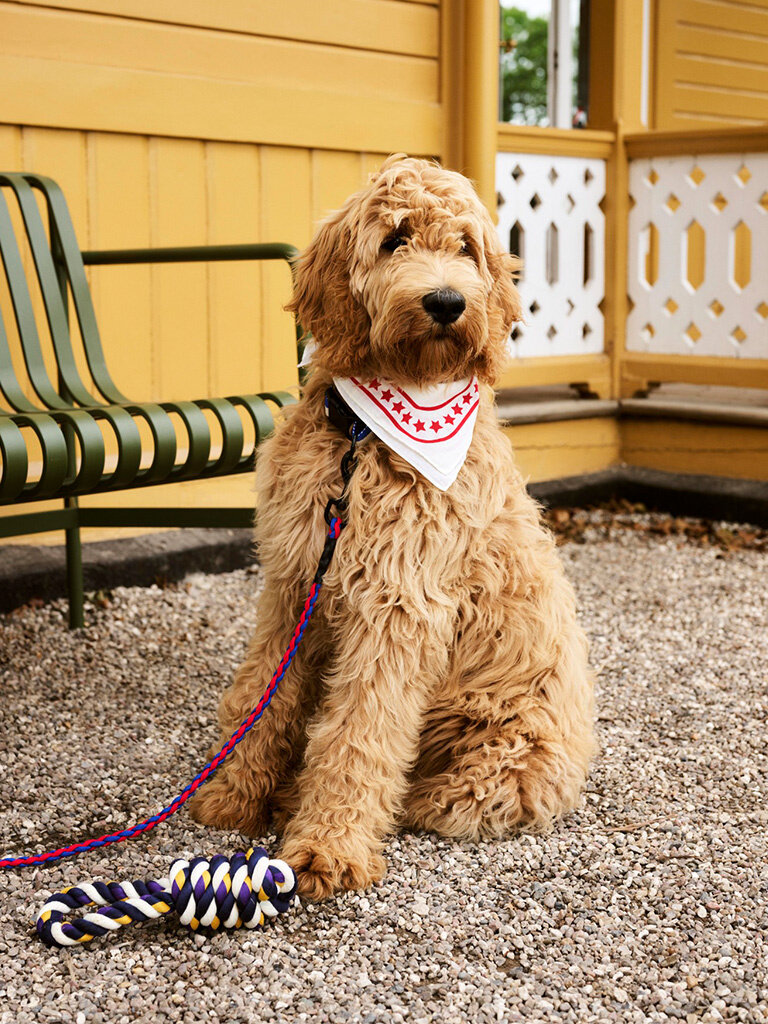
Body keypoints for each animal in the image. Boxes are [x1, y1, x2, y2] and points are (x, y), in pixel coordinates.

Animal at [189, 155, 598, 901]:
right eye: (395, 239)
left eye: (465, 246)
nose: (447, 302)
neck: (362, 437)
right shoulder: (295, 582)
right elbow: (264, 692)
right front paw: (234, 795)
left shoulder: (398, 603)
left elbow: (359, 730)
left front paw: (327, 847)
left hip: (493, 767)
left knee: (431, 794)